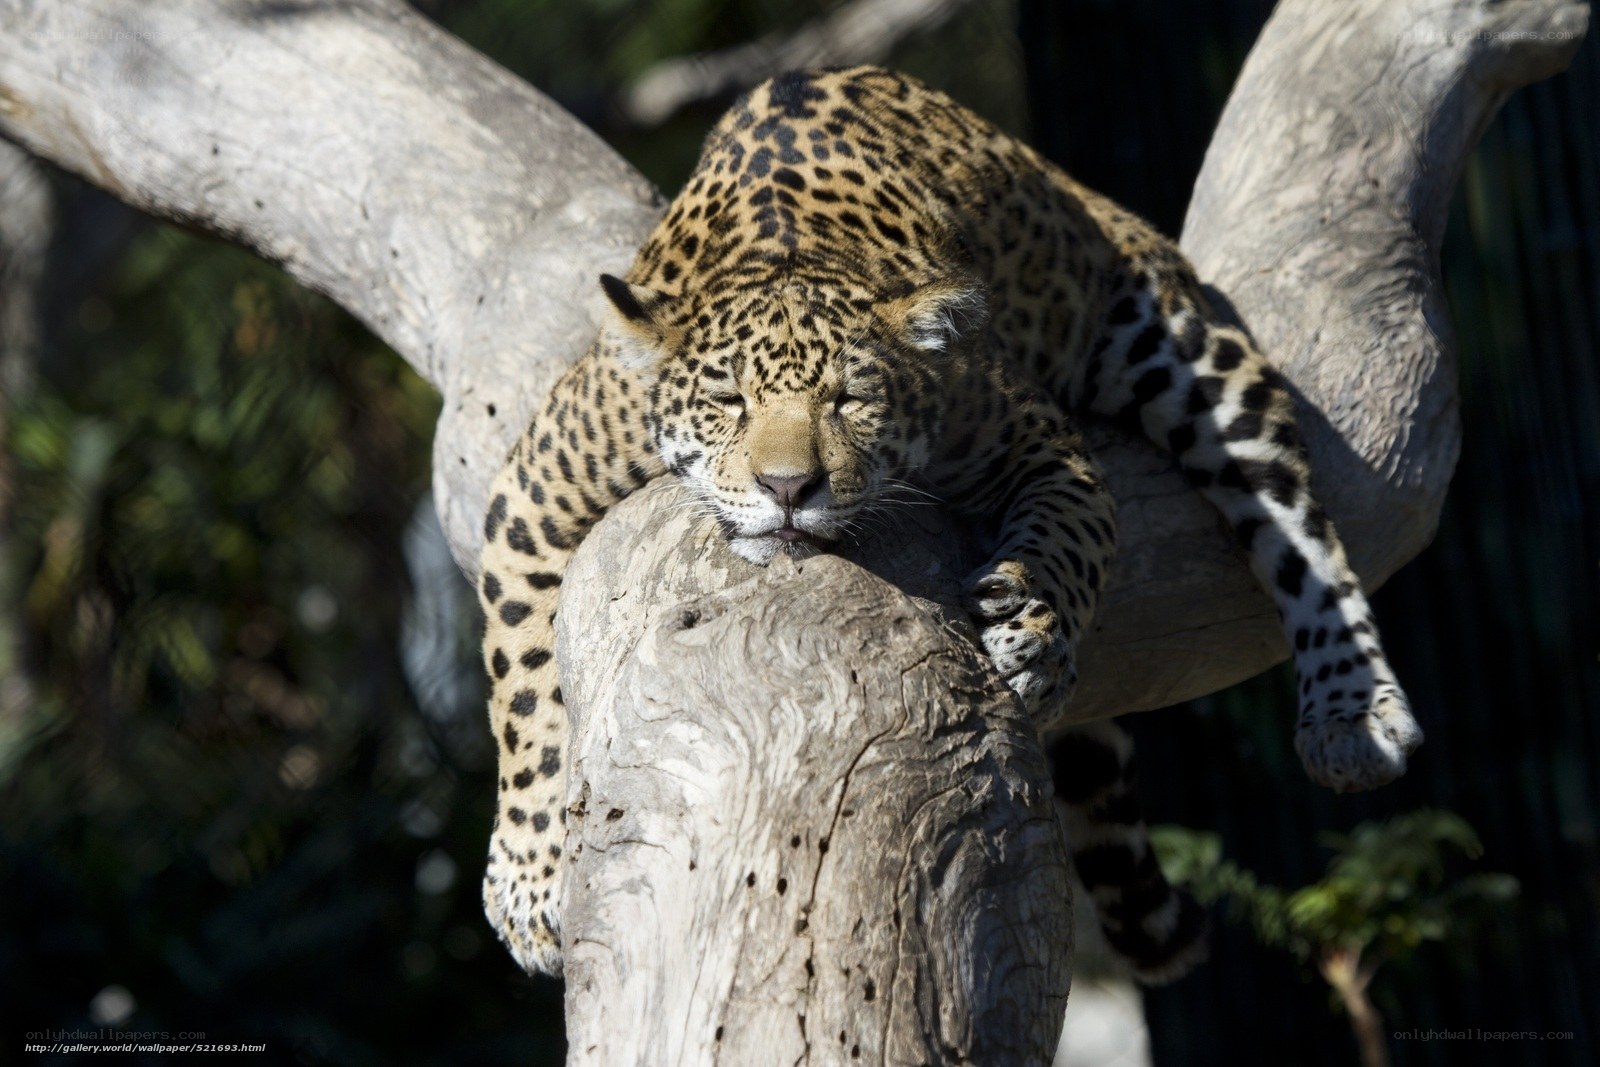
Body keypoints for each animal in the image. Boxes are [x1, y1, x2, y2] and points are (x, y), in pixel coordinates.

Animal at [477, 66, 1424, 981]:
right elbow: (523, 695)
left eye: (851, 399)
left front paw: (1032, 635)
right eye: (728, 401)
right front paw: (529, 881)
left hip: (1187, 349)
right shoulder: (533, 493)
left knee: (1305, 537)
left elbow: (1074, 544)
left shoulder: (1042, 442)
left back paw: (1352, 710)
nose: (789, 487)